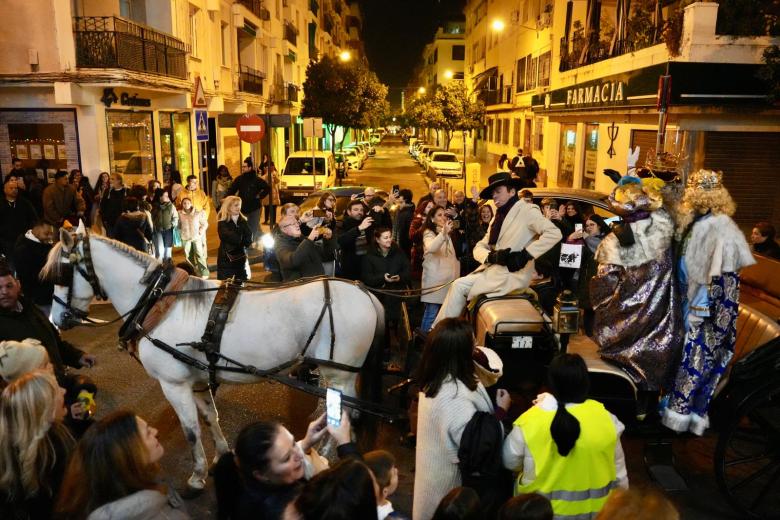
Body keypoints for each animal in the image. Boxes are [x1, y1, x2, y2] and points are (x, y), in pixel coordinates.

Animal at [43, 230, 384, 490]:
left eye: (62, 273)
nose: (56, 319)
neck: (160, 302)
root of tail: (365, 293)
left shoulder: (174, 384)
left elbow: (191, 429)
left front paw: (196, 476)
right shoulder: (195, 380)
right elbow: (210, 417)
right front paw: (221, 454)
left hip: (339, 375)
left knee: (343, 414)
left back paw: (326, 454)